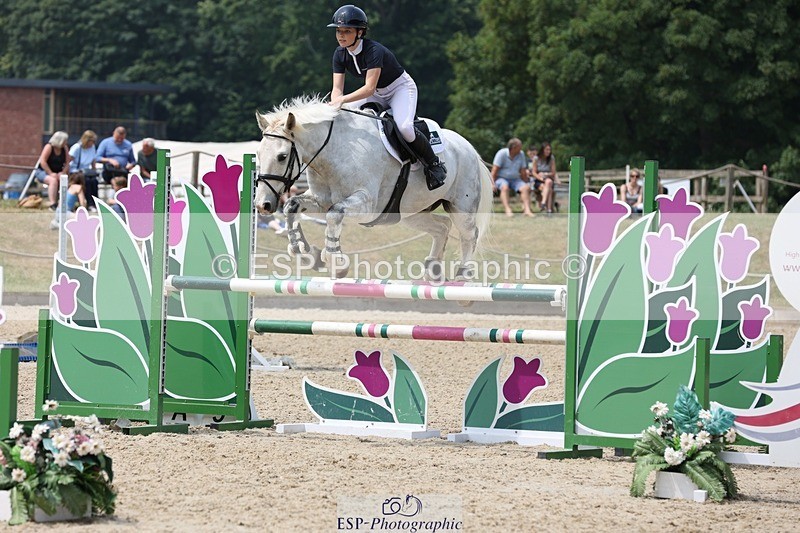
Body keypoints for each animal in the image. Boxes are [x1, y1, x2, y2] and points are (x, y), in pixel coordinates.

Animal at [255, 95, 492, 280]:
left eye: (282, 156)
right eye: (257, 154)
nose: (262, 205)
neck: (333, 152)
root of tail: (469, 147)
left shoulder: (366, 204)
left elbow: (334, 214)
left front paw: (336, 263)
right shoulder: (320, 200)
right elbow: (292, 206)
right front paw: (306, 254)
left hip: (461, 207)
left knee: (469, 235)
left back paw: (462, 278)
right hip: (411, 212)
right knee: (442, 227)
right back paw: (433, 272)